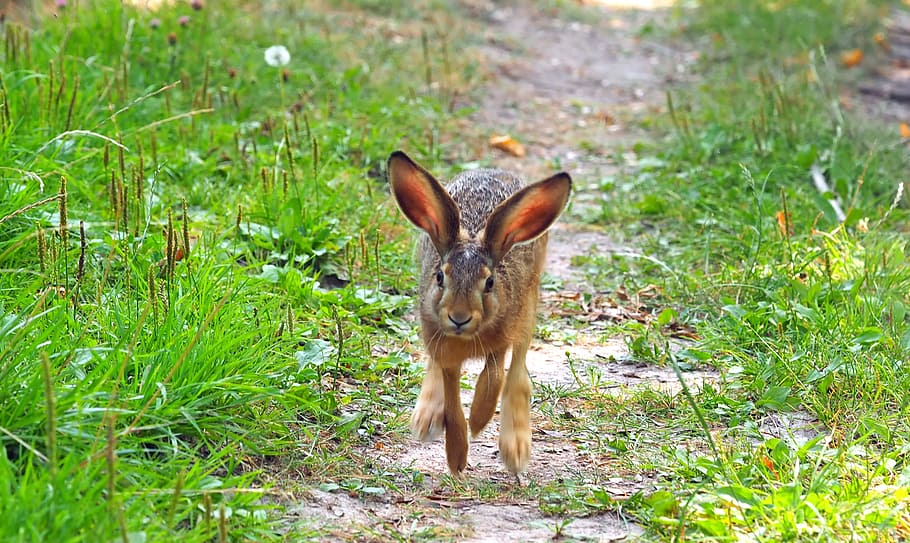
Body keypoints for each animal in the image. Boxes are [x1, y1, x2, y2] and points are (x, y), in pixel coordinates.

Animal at [387, 150, 571, 476]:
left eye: (489, 282)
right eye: (440, 277)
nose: (459, 317)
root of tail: (493, 170)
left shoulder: (503, 335)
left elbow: (494, 378)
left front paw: (479, 418)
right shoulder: (443, 351)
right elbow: (450, 396)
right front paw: (457, 456)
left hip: (528, 305)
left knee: (518, 371)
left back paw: (515, 447)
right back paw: (425, 419)